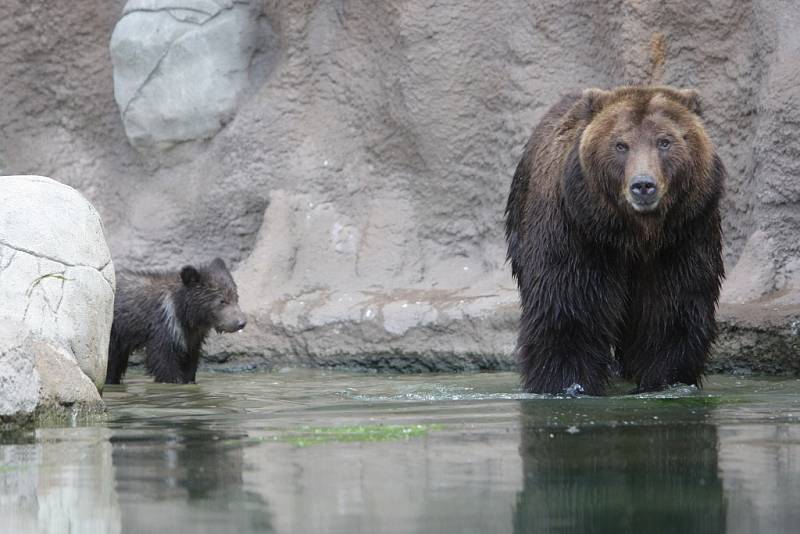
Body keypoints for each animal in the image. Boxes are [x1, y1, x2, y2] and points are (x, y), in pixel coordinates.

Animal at [506, 88, 724, 396]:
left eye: (665, 141)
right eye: (621, 145)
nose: (643, 185)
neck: (635, 236)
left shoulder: (683, 238)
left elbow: (672, 312)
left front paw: (665, 380)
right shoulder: (577, 234)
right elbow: (568, 310)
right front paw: (568, 383)